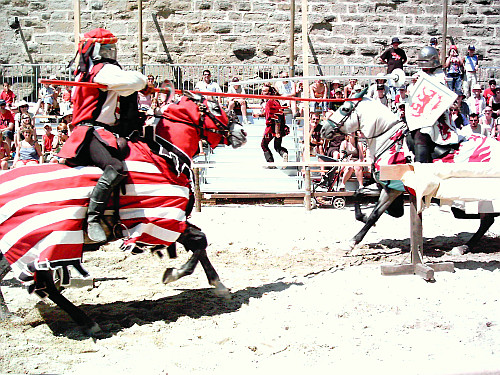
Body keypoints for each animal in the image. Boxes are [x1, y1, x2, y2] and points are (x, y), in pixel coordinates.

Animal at [0, 92, 248, 336]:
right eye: (215, 108)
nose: (242, 133)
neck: (163, 156)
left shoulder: (172, 223)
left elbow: (200, 243)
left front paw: (218, 286)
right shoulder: (161, 222)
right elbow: (199, 242)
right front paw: (175, 274)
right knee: (46, 285)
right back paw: (87, 322)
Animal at [320, 95, 500, 256]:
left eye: (345, 109)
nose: (322, 129)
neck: (388, 141)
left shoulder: (392, 191)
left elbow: (374, 215)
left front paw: (351, 242)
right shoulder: (386, 187)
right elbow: (358, 193)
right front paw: (362, 217)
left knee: (486, 220)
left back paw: (463, 247)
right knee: (487, 220)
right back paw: (464, 246)